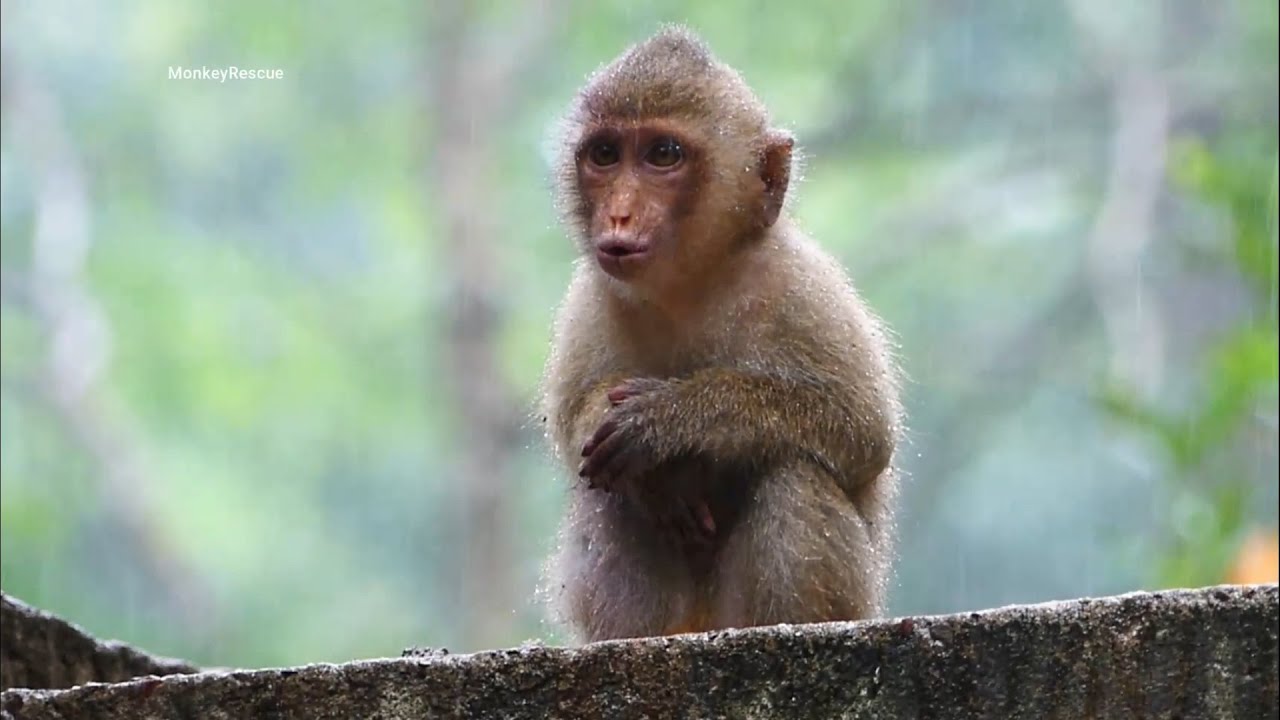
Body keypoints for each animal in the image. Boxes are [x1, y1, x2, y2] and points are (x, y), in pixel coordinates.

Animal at [539, 25, 903, 643]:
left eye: (663, 155)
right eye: (605, 155)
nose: (618, 216)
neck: (691, 283)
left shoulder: (804, 286)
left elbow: (860, 430)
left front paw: (673, 420)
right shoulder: (589, 300)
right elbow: (579, 430)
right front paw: (657, 473)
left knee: (792, 472)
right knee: (610, 491)